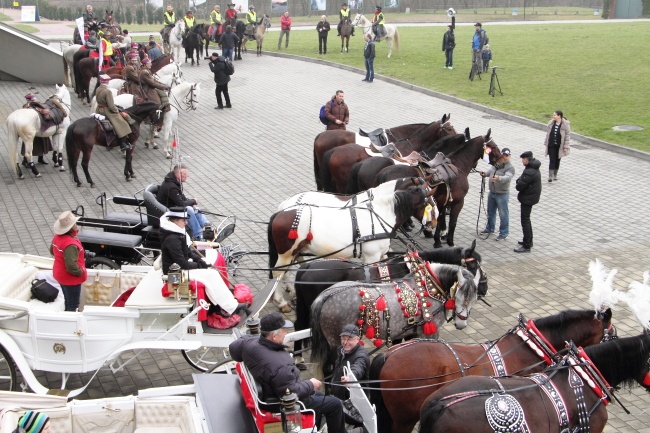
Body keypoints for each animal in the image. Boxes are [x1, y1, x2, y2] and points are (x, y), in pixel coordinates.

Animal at [306, 260, 478, 378]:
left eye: (474, 299)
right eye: (460, 296)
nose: (462, 323)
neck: (429, 287)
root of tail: (324, 296)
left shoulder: (411, 332)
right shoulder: (430, 333)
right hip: (336, 342)